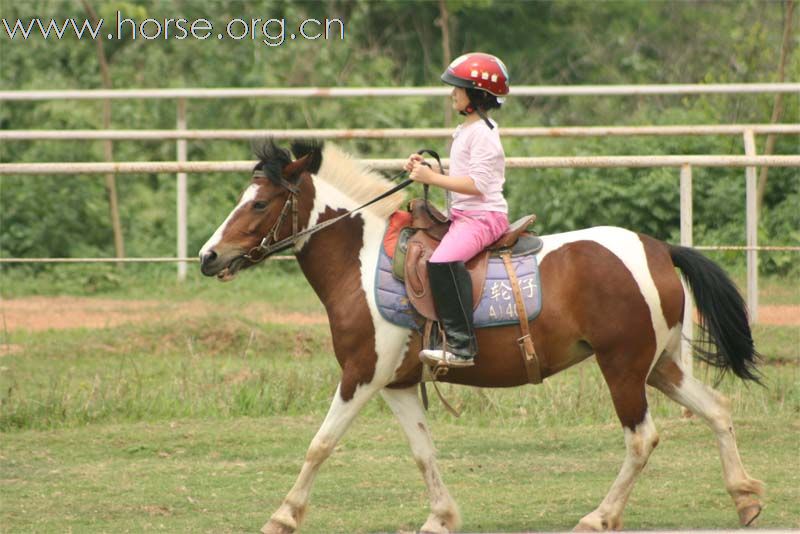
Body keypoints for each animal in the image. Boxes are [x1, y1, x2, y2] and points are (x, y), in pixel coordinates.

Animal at [198, 141, 764, 534]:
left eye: (259, 204)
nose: (208, 256)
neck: (362, 262)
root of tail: (660, 248)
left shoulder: (362, 374)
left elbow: (320, 443)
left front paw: (283, 516)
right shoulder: (397, 383)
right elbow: (423, 452)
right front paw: (441, 516)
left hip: (623, 368)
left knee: (642, 438)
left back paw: (599, 516)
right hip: (660, 366)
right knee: (716, 409)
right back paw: (745, 497)